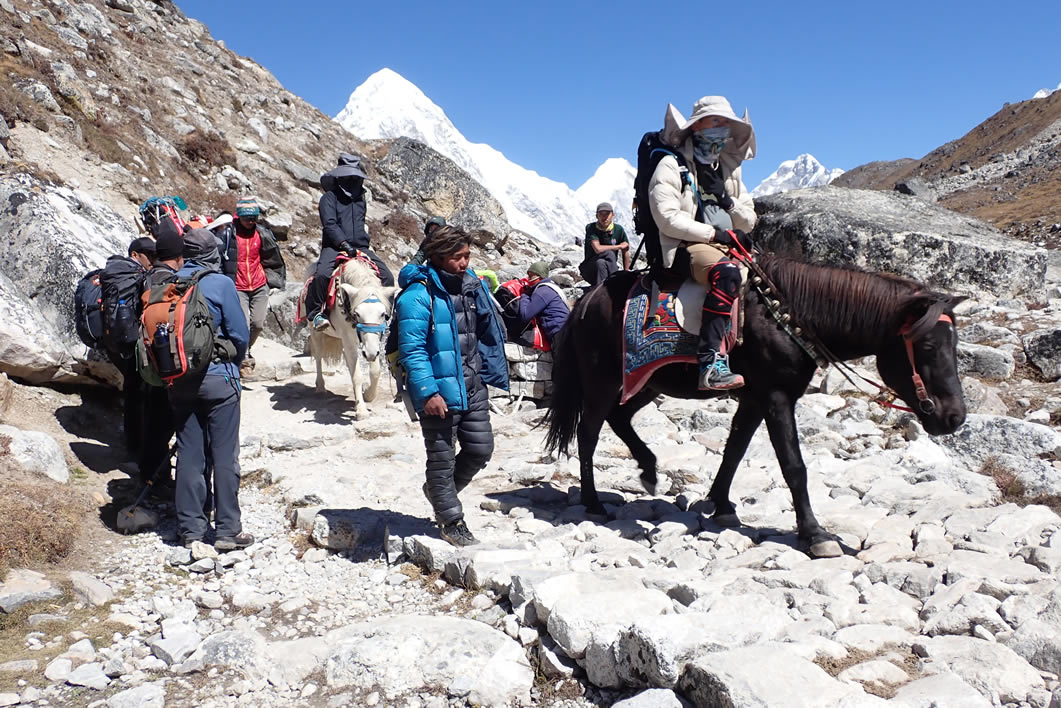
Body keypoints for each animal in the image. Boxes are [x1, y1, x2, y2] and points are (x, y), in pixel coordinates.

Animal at [299, 258, 395, 419]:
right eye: (357, 314)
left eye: (383, 314)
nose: (369, 354)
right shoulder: (350, 339)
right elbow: (357, 375)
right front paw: (361, 410)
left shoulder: (372, 343)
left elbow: (375, 371)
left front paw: (367, 395)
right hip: (315, 330)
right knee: (318, 356)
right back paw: (321, 387)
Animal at [543, 253, 967, 557]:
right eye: (928, 346)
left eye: (955, 344)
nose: (954, 417)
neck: (789, 316)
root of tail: (586, 301)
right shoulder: (776, 397)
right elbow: (794, 467)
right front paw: (815, 535)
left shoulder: (753, 397)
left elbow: (734, 450)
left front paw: (721, 505)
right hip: (602, 382)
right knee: (588, 433)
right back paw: (593, 503)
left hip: (646, 382)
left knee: (619, 418)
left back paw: (648, 470)